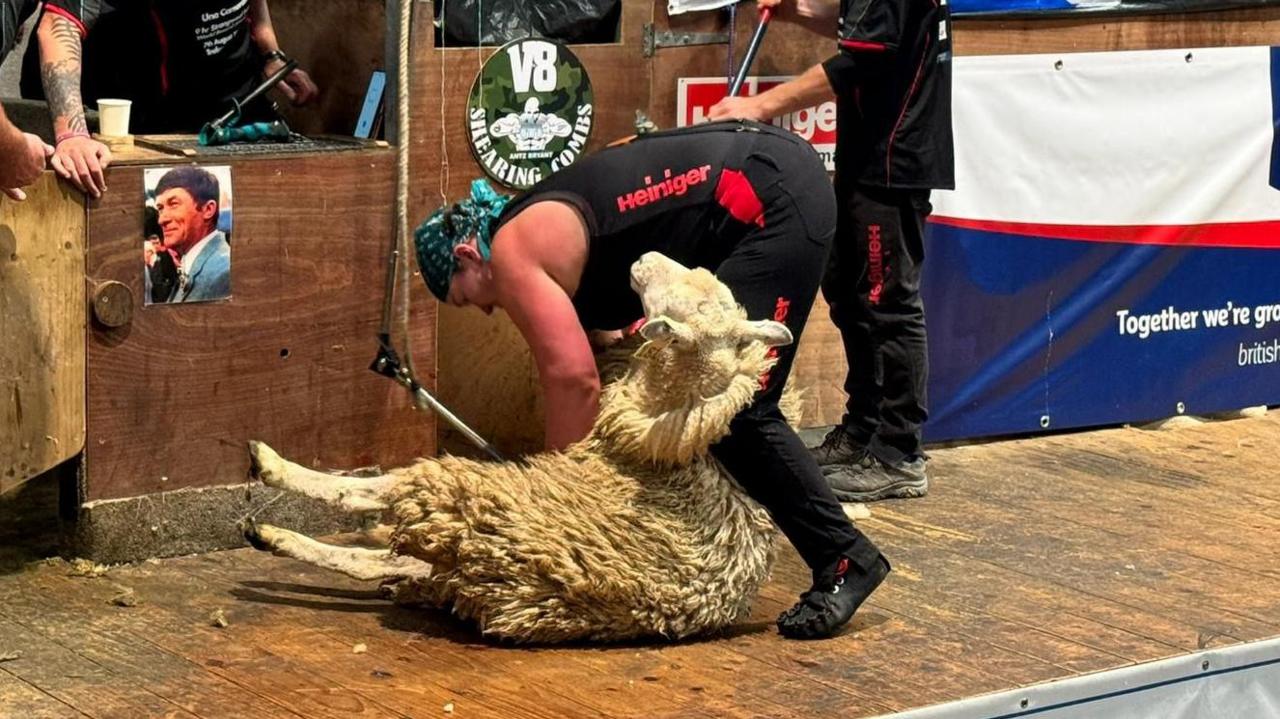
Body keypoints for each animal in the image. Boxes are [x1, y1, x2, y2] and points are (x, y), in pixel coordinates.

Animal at [240, 253, 793, 644]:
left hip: (463, 500)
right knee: (383, 559)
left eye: (674, 304)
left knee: (373, 507)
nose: (644, 258)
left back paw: (271, 502)